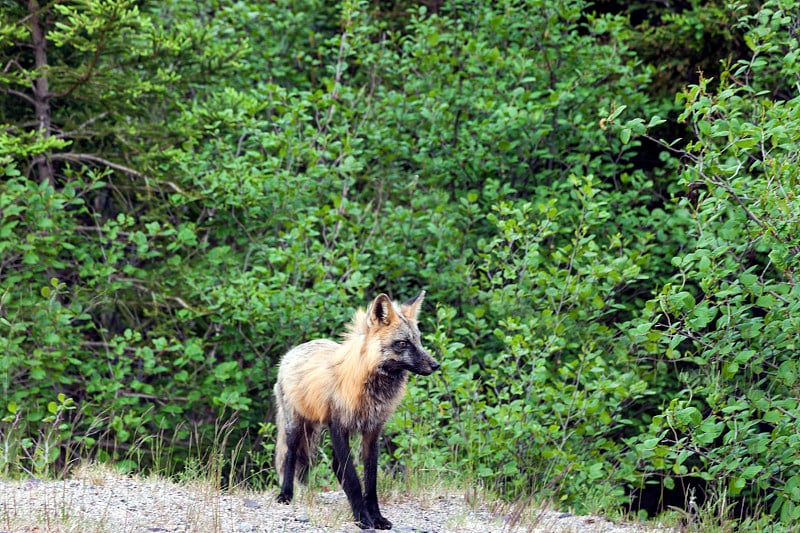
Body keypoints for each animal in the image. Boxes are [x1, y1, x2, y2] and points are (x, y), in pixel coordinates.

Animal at [274, 290, 438, 528]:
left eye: (418, 340)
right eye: (403, 343)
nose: (436, 365)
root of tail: (291, 353)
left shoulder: (372, 430)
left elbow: (370, 481)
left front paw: (376, 517)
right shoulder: (338, 427)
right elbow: (352, 479)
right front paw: (362, 517)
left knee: (335, 464)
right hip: (296, 425)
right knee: (290, 455)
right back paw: (285, 494)